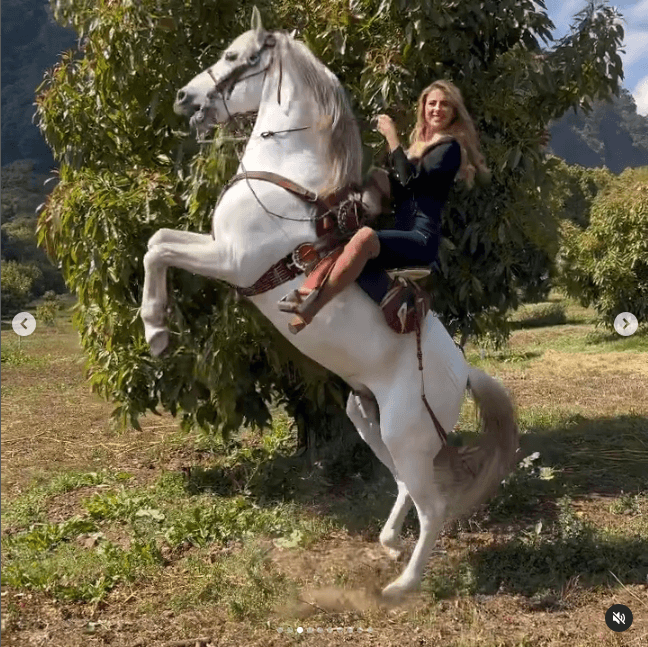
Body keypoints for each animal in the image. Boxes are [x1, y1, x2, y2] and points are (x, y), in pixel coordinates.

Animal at [141, 7, 518, 600]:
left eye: (233, 55)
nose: (185, 97)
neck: (286, 175)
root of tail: (465, 372)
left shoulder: (229, 259)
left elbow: (157, 247)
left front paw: (155, 329)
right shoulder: (221, 252)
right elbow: (157, 241)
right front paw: (157, 329)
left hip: (405, 434)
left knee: (433, 508)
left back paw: (402, 586)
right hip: (368, 419)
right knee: (405, 486)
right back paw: (388, 543)